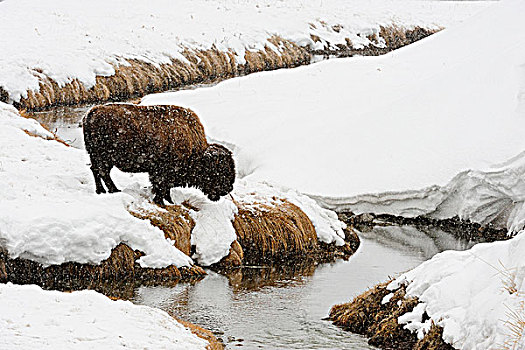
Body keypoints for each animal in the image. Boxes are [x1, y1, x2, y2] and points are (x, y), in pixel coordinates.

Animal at [82, 102, 235, 204]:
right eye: (221, 169)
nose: (228, 188)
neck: (196, 150)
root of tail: (92, 113)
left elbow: (164, 188)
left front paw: (169, 201)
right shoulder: (163, 172)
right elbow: (161, 187)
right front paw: (161, 202)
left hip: (97, 156)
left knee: (96, 170)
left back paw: (101, 191)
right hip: (104, 157)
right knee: (102, 172)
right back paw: (114, 190)